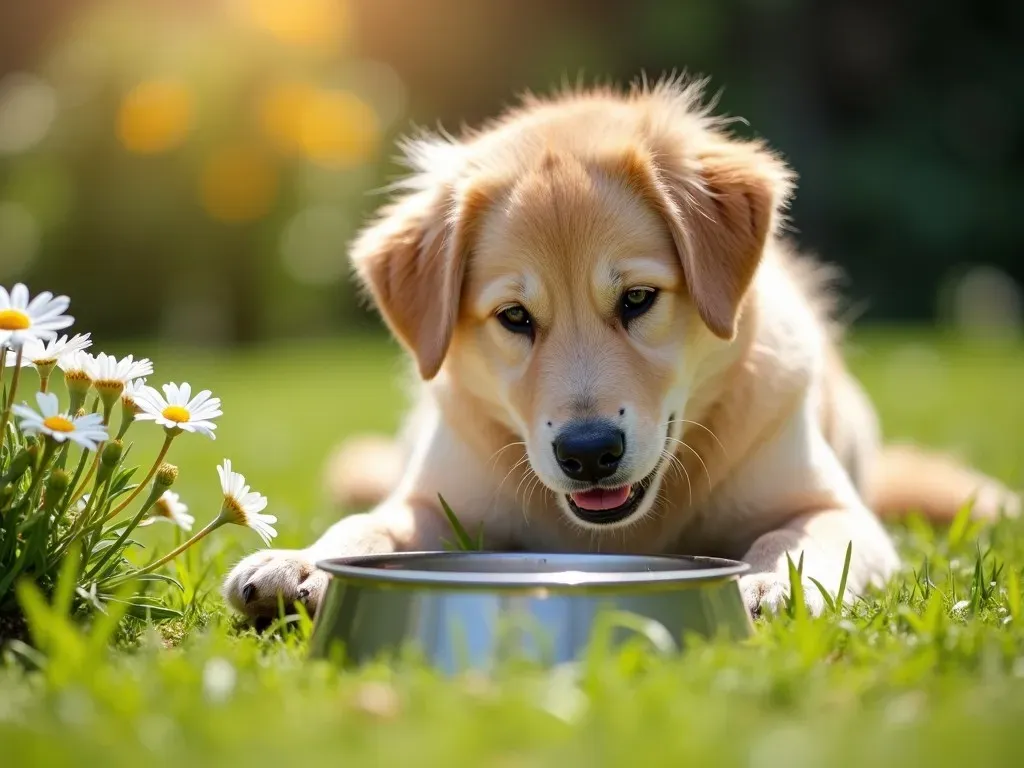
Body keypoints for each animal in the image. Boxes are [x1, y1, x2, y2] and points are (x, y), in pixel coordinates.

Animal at [224, 76, 1015, 618]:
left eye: (637, 300)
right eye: (515, 316)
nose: (588, 453)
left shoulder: (835, 509)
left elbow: (797, 540)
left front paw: (768, 579)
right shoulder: (432, 499)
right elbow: (366, 524)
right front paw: (300, 562)